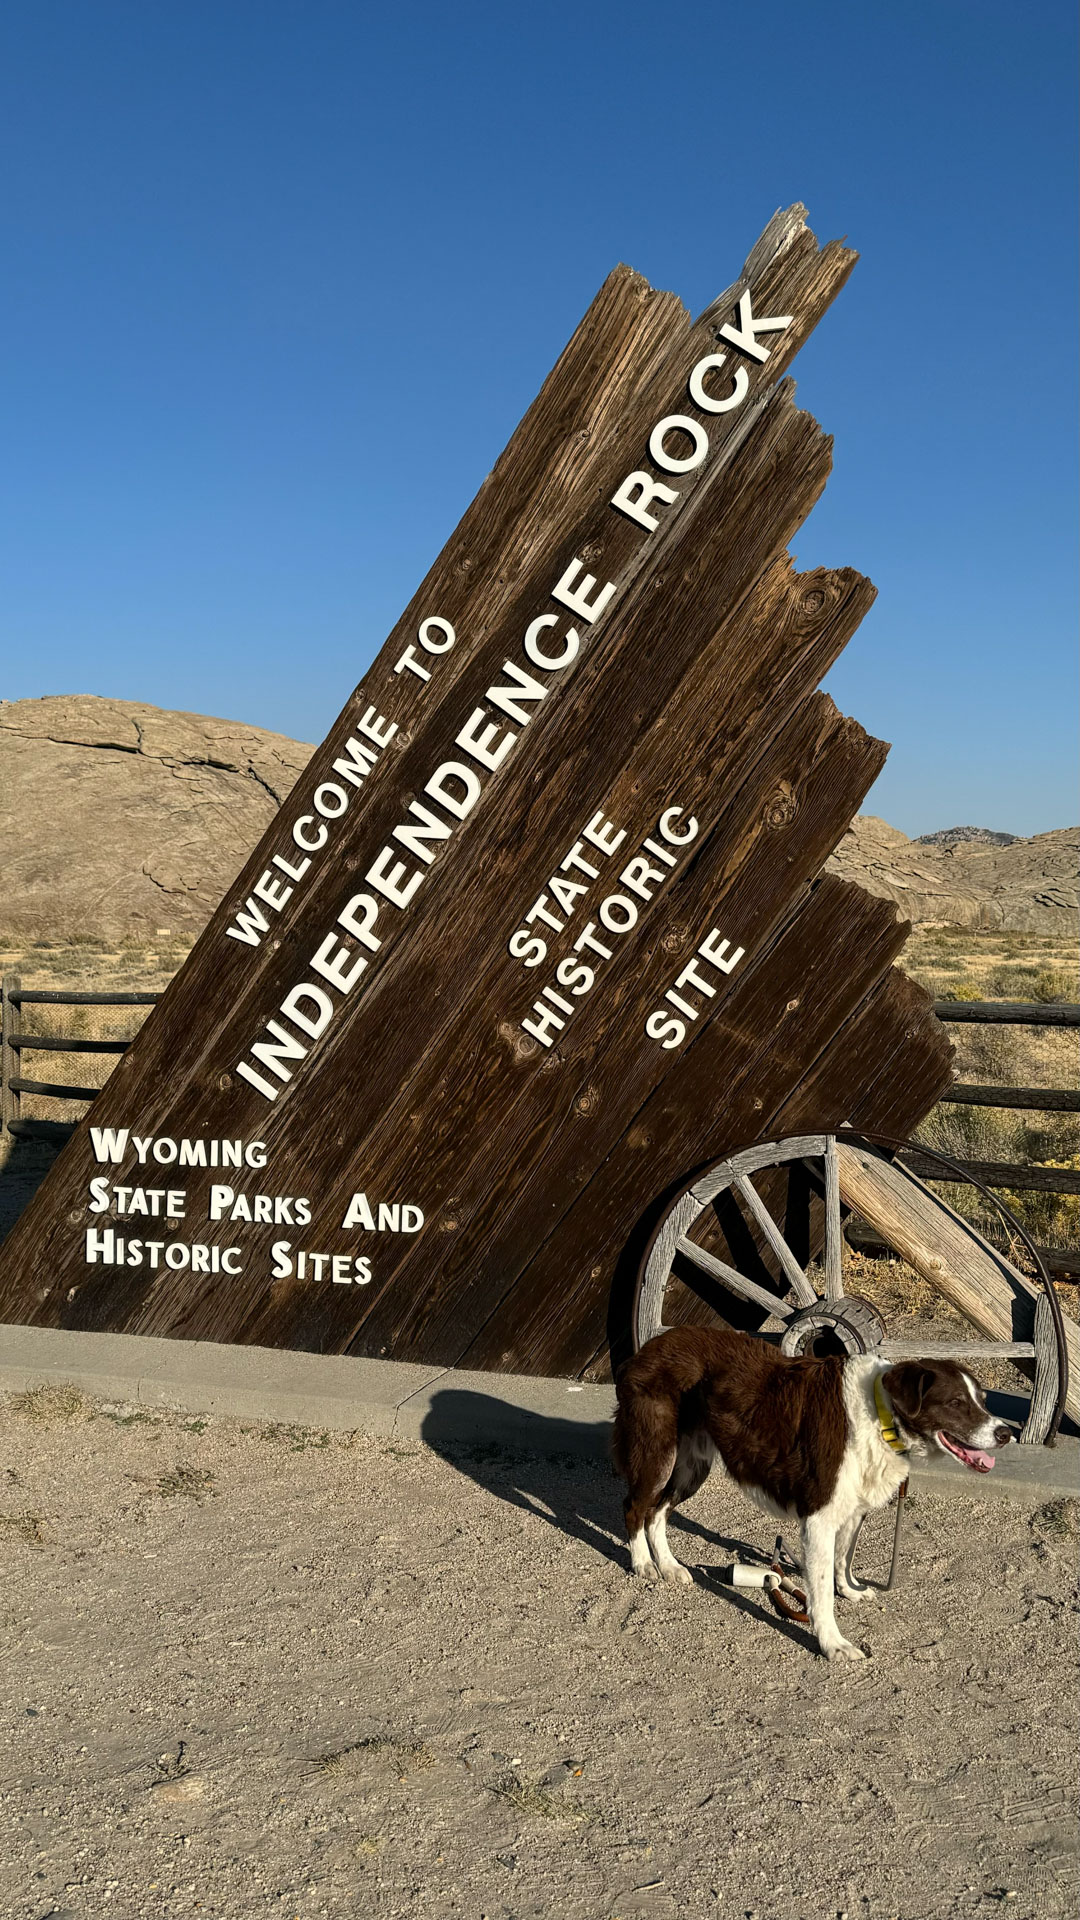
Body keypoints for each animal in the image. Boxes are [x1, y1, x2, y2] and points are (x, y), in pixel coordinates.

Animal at [614, 1328, 1006, 1658]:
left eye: (984, 1400)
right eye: (956, 1402)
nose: (1006, 1433)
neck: (880, 1415)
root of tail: (649, 1346)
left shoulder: (851, 1510)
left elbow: (843, 1560)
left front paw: (849, 1591)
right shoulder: (818, 1517)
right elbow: (820, 1589)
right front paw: (832, 1643)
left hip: (691, 1465)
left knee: (657, 1511)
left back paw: (669, 1566)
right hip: (658, 1453)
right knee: (635, 1506)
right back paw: (644, 1564)